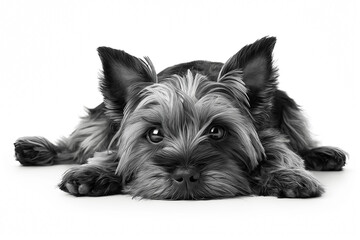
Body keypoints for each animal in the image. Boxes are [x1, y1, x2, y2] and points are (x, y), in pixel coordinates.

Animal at [13, 36, 346, 200]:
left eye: (217, 131)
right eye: (154, 133)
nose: (185, 176)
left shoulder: (268, 134)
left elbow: (282, 153)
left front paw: (287, 176)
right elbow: (110, 153)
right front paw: (93, 174)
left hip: (288, 107)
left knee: (301, 140)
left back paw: (322, 153)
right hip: (101, 119)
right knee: (77, 143)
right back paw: (36, 149)